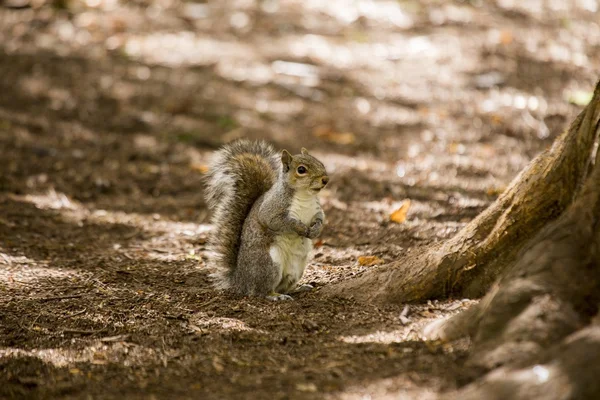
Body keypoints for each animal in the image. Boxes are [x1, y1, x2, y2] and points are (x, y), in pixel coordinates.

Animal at [205, 140, 328, 300]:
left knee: (284, 286)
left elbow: (320, 219)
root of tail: (240, 281)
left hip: (296, 268)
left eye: (320, 163)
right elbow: (277, 221)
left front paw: (315, 230)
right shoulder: (271, 209)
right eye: (301, 170)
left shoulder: (317, 210)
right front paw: (299, 227)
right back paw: (275, 296)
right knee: (261, 291)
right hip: (269, 264)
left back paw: (299, 288)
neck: (305, 195)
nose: (325, 179)